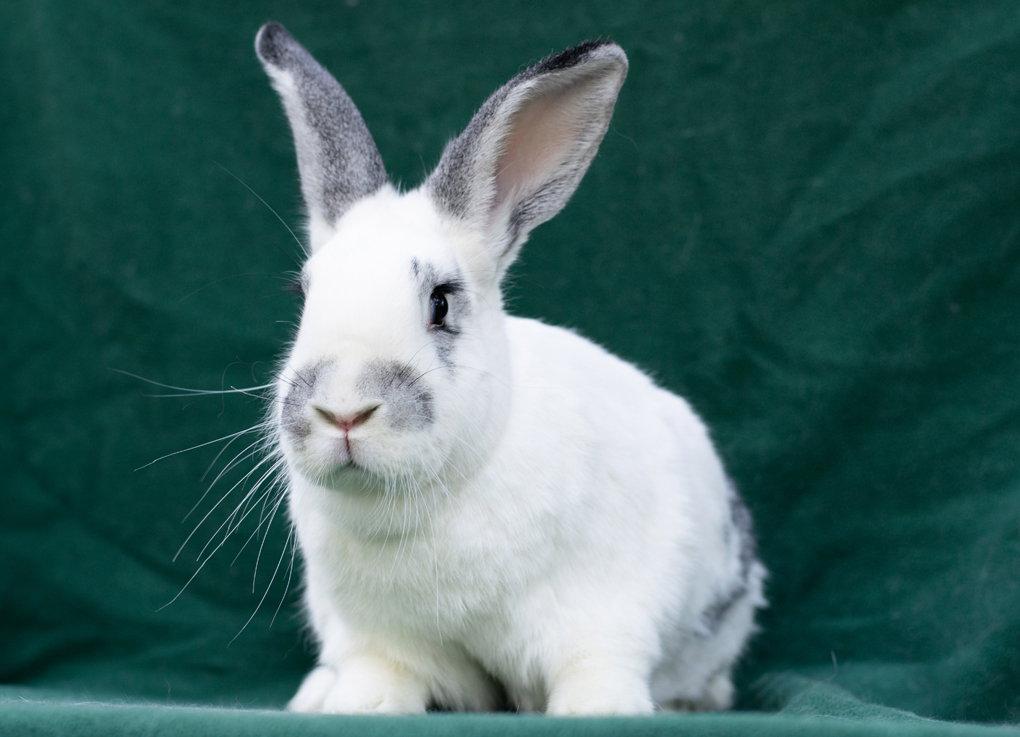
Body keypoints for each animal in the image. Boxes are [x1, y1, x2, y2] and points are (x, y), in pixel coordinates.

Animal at [254, 21, 766, 715]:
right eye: (305, 295)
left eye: (441, 302)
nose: (342, 409)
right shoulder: (379, 635)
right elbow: (380, 671)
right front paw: (359, 705)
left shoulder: (604, 614)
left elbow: (596, 665)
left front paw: (599, 710)